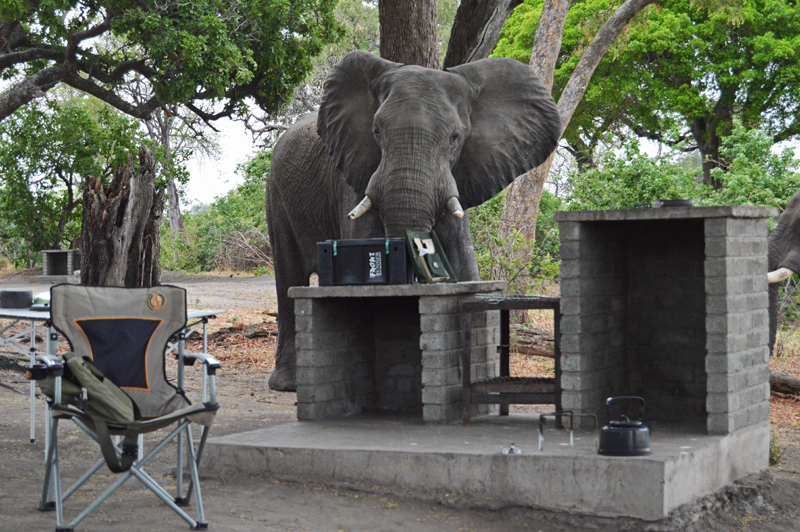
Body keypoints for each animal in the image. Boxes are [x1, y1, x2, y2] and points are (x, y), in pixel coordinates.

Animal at [265, 50, 561, 391]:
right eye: (376, 132)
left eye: (455, 138)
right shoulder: (356, 173)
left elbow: (463, 265)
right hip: (276, 191)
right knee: (288, 275)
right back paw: (288, 384)